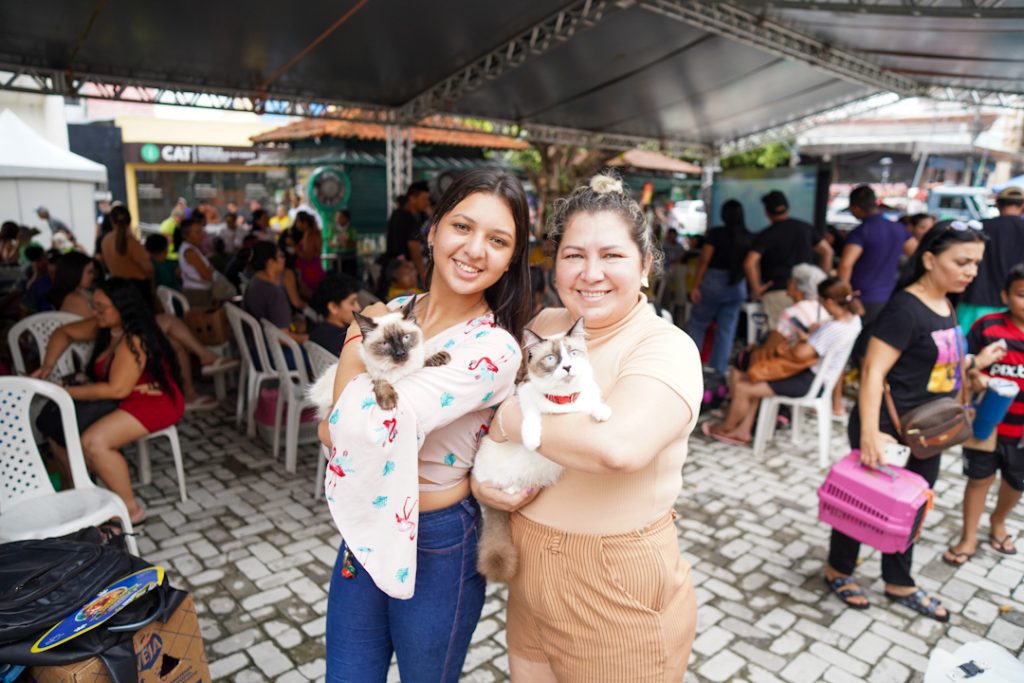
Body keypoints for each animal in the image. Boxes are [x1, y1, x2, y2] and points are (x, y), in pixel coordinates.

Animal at [307, 296, 449, 417]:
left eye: (406, 337)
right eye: (385, 344)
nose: (400, 353)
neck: (401, 371)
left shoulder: (416, 364)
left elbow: (423, 357)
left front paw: (439, 357)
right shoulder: (374, 374)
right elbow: (381, 382)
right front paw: (388, 401)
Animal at [472, 317, 611, 582]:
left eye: (573, 353)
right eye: (551, 358)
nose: (567, 367)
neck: (564, 401)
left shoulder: (582, 402)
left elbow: (591, 403)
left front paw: (602, 412)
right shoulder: (525, 396)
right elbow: (532, 414)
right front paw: (532, 440)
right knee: (501, 486)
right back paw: (514, 487)